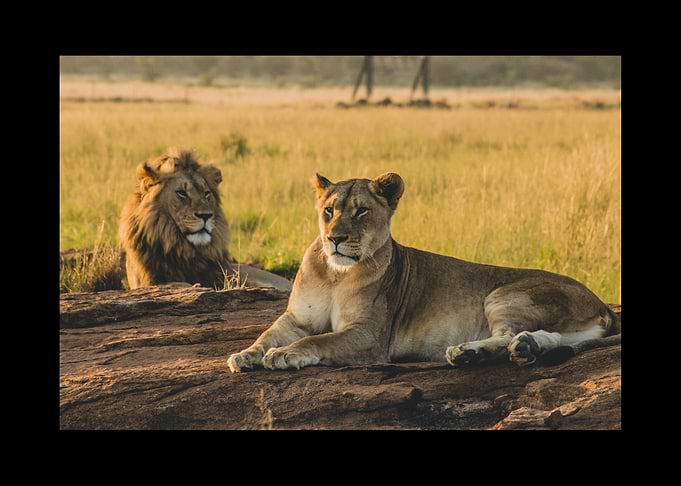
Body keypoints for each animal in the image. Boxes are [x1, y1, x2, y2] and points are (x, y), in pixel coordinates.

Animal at [227, 172, 620, 372]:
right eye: (329, 211)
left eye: (361, 211)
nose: (335, 238)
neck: (336, 274)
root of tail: (601, 304)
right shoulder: (297, 318)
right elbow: (268, 334)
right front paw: (246, 355)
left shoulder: (369, 336)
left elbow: (319, 341)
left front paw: (284, 355)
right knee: (551, 338)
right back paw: (522, 348)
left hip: (504, 294)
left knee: (508, 334)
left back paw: (469, 352)